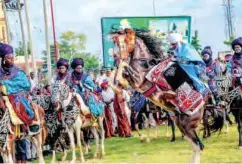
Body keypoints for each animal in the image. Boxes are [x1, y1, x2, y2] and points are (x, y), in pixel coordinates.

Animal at [109, 28, 223, 163]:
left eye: (122, 42)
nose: (114, 57)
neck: (145, 64)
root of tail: (205, 104)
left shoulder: (138, 80)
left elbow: (123, 66)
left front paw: (115, 84)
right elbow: (121, 71)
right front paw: (115, 85)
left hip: (187, 124)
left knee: (199, 146)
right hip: (182, 124)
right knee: (195, 146)